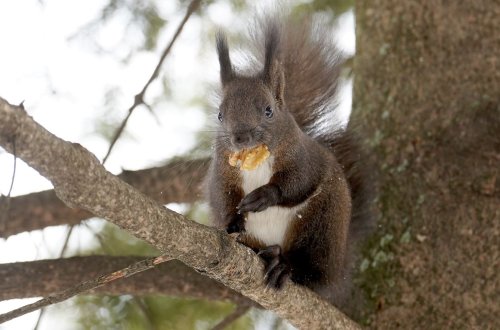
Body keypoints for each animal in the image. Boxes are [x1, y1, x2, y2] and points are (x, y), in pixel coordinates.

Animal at [205, 12, 374, 306]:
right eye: (220, 114)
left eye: (269, 111)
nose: (240, 137)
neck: (256, 160)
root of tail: (339, 263)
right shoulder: (222, 169)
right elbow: (223, 195)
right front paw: (231, 220)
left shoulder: (303, 158)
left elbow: (298, 182)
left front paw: (265, 196)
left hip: (321, 225)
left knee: (312, 271)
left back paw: (285, 266)